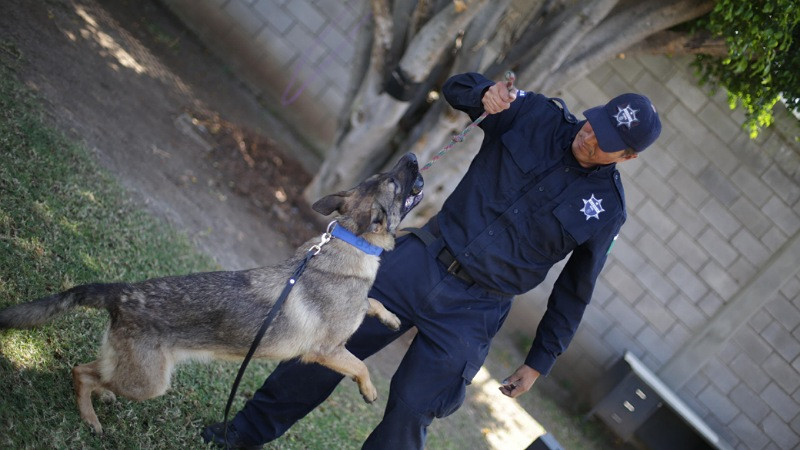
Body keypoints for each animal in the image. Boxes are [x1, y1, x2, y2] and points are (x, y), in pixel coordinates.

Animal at [0, 153, 424, 434]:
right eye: (393, 181)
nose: (413, 157)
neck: (351, 239)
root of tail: (123, 293)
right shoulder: (327, 352)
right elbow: (360, 364)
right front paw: (369, 390)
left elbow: (373, 301)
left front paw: (389, 316)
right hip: (150, 384)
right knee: (81, 373)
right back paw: (89, 417)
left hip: (136, 375)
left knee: (94, 370)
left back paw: (99, 400)